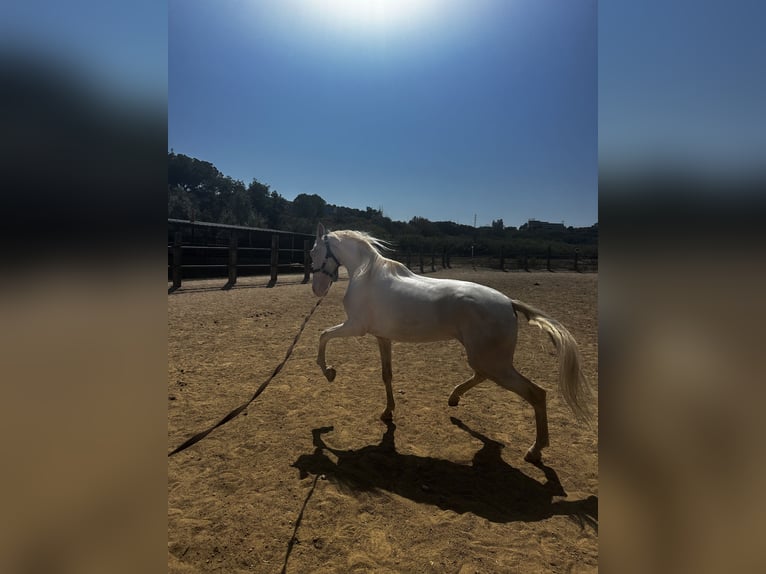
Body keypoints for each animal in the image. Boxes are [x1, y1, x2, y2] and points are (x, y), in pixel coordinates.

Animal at [312, 223, 592, 466]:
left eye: (313, 251)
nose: (317, 289)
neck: (367, 276)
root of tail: (509, 303)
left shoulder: (355, 327)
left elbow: (323, 335)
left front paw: (329, 373)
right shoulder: (383, 337)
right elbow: (386, 375)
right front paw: (388, 412)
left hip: (493, 362)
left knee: (536, 393)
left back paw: (535, 451)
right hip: (486, 359)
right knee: (481, 376)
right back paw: (454, 398)